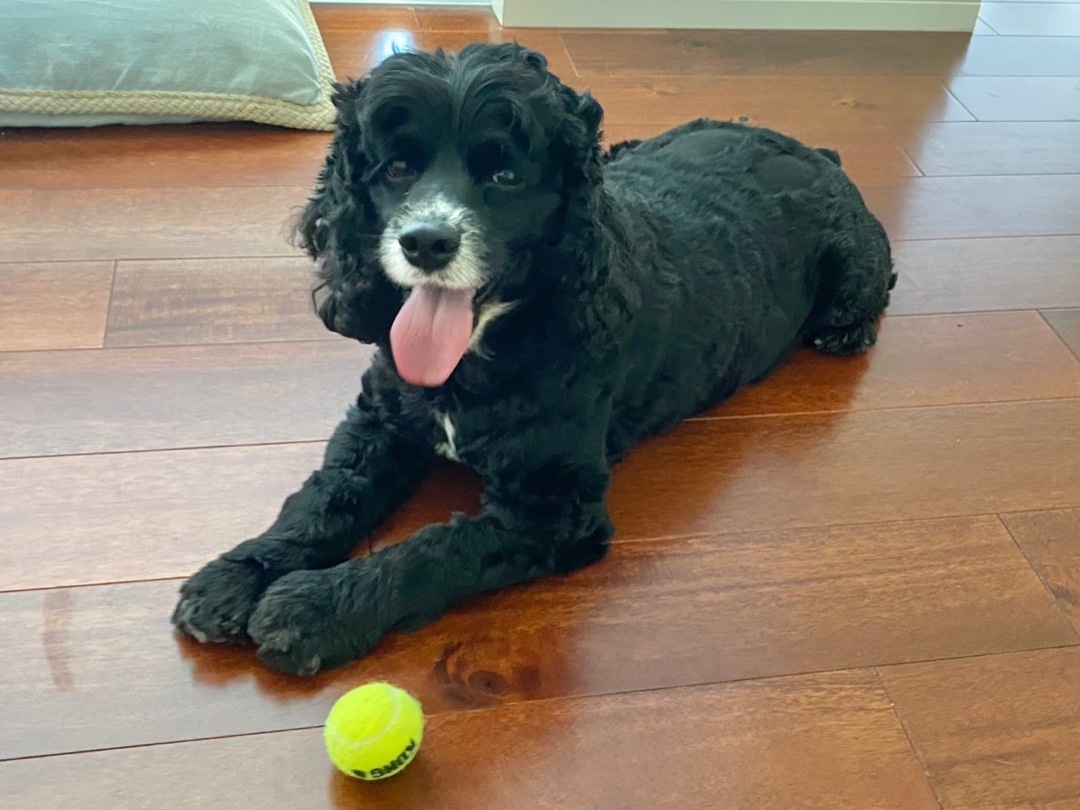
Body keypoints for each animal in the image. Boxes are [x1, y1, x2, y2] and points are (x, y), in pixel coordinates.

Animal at [170, 44, 894, 678]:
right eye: (395, 169)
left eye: (506, 175)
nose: (425, 241)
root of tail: (816, 150)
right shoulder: (377, 422)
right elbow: (322, 499)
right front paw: (237, 573)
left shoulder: (554, 506)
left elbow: (437, 548)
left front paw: (317, 607)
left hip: (853, 270)